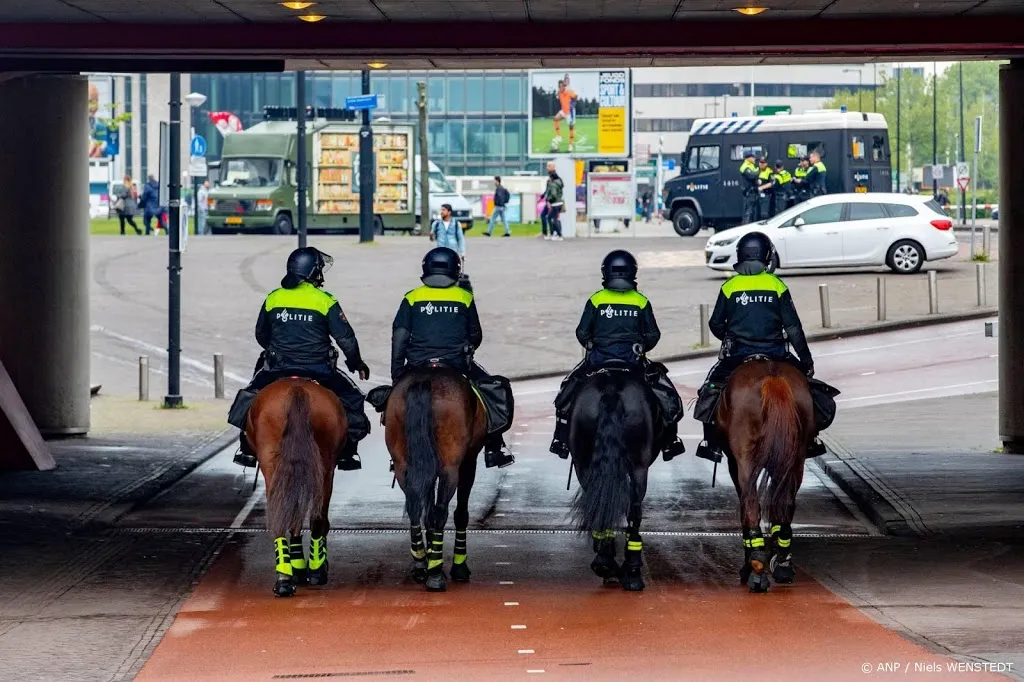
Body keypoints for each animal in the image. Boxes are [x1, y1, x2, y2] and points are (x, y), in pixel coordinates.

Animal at [247, 376, 348, 593]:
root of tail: (296, 388)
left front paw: (299, 566)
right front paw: (302, 566)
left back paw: (288, 576)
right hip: (322, 466)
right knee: (313, 517)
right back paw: (304, 573)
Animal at [387, 360, 491, 589]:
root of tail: (426, 378)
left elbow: (427, 512)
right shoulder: (468, 463)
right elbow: (459, 513)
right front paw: (458, 566)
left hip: (403, 465)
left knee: (415, 508)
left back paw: (421, 565)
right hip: (450, 468)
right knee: (441, 510)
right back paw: (434, 574)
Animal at [569, 364, 655, 593]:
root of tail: (610, 390)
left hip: (583, 464)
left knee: (599, 502)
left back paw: (606, 564)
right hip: (639, 466)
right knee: (634, 510)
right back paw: (631, 571)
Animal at [716, 356, 811, 589]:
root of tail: (771, 375)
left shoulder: (734, 462)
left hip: (745, 457)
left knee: (750, 503)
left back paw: (756, 569)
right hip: (795, 456)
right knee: (785, 503)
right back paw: (782, 566)